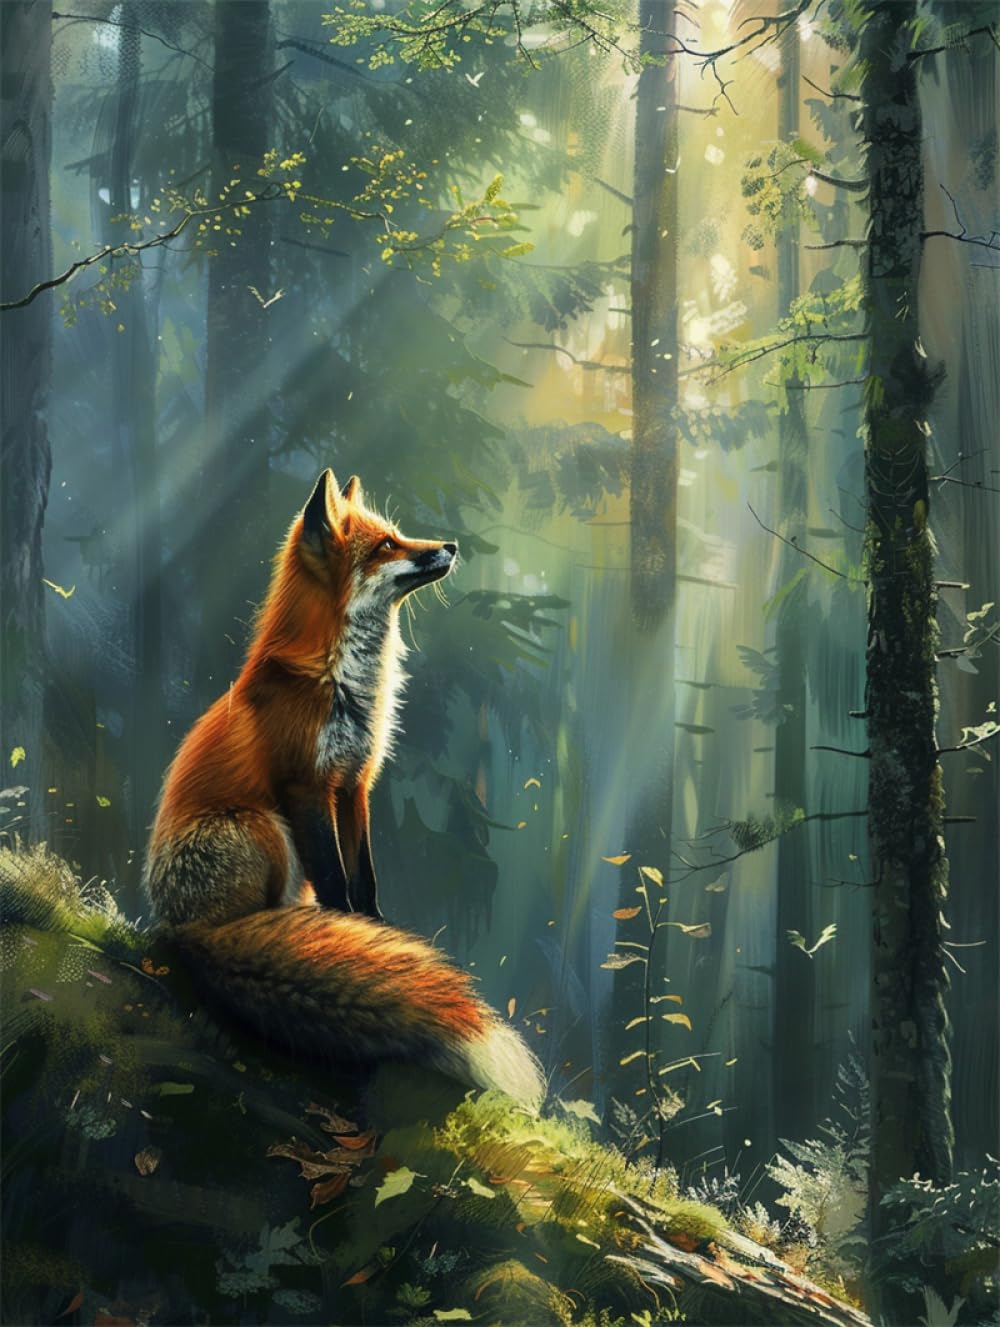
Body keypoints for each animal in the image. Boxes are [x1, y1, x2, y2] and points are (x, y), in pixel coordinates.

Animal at [143, 469, 543, 1110]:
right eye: (385, 546)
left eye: (397, 535)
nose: (451, 546)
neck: (348, 687)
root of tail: (182, 925)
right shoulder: (307, 786)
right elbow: (334, 878)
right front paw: (353, 937)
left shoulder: (356, 783)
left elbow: (365, 877)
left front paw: (375, 932)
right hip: (261, 825)